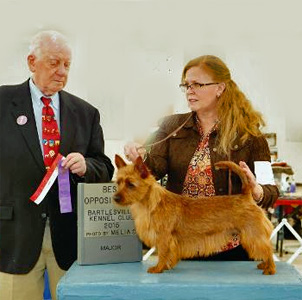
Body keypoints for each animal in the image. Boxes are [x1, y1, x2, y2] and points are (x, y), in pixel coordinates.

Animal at [112, 155, 276, 274]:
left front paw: (158, 268)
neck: (150, 203)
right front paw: (166, 266)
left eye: (131, 184)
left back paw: (270, 269)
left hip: (252, 234)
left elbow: (163, 254)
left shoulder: (164, 238)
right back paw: (264, 265)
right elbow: (168, 255)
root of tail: (245, 195)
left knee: (267, 249)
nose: (115, 198)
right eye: (118, 183)